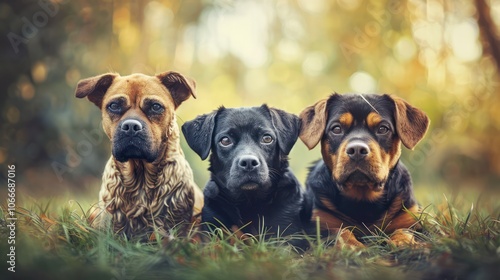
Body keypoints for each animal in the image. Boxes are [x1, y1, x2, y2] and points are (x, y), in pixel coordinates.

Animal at [298, 93, 432, 247]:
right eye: (336, 129)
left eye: (382, 129)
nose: (357, 150)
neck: (363, 197)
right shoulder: (320, 224)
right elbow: (340, 232)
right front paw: (352, 245)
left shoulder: (412, 220)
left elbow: (405, 231)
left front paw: (402, 241)